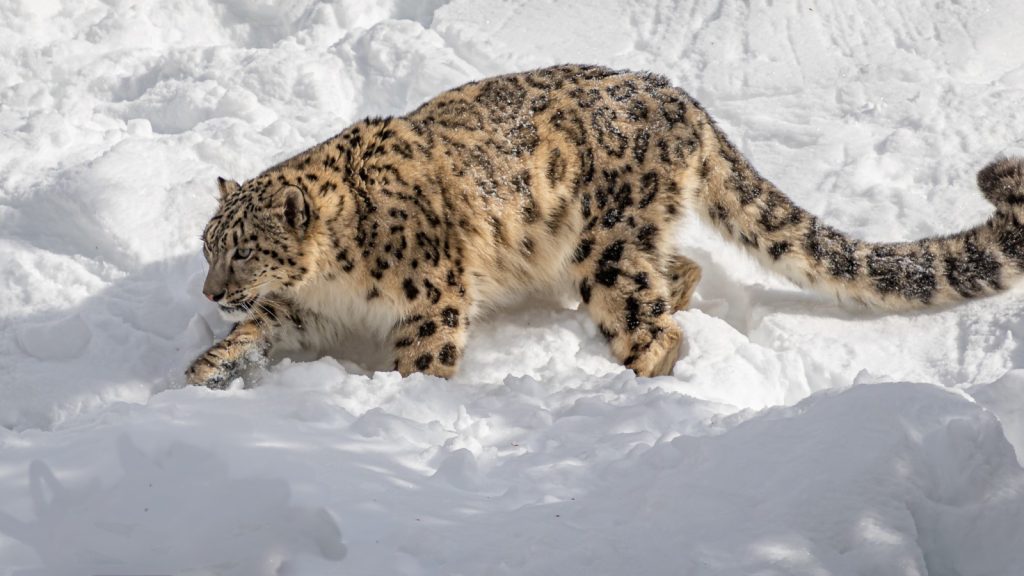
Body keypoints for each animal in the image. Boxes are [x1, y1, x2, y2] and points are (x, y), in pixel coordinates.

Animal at [186, 62, 1024, 387]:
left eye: (246, 249)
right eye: (207, 247)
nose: (211, 292)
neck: (333, 277)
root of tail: (680, 97)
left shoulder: (431, 300)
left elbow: (422, 359)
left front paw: (398, 398)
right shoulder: (305, 308)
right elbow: (263, 327)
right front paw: (206, 367)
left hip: (606, 248)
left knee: (648, 323)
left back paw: (646, 373)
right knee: (680, 268)